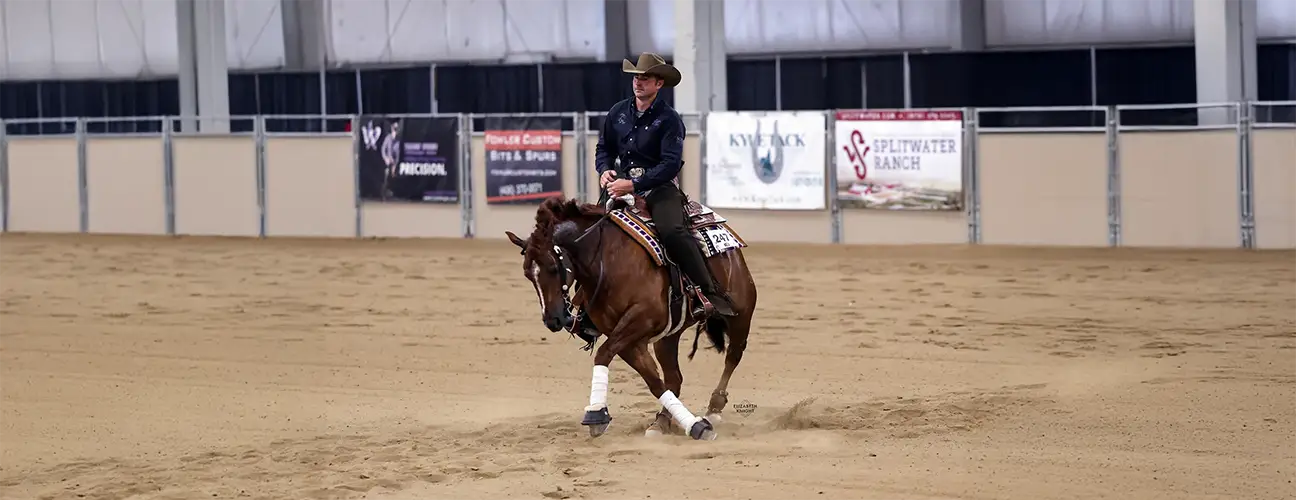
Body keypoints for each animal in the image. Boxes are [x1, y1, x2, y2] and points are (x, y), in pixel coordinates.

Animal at [504, 193, 758, 440]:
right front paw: (692, 425)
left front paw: (595, 414)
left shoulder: (640, 319)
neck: (609, 259)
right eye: (528, 274)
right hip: (668, 336)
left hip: (741, 315)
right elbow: (653, 380)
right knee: (674, 378)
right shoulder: (627, 337)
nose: (552, 320)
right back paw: (662, 422)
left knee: (733, 356)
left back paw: (714, 408)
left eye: (553, 267)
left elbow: (604, 354)